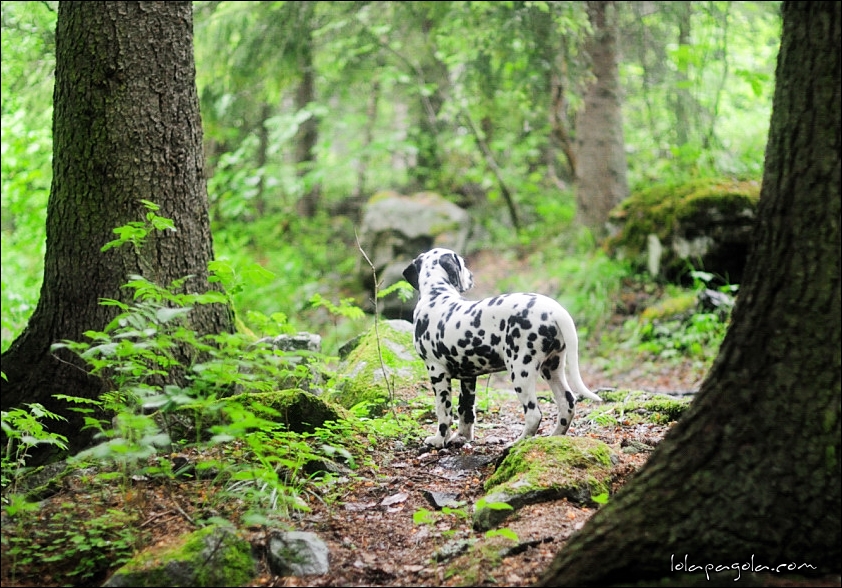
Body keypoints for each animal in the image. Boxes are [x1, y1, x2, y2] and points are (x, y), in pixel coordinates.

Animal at [400, 247, 596, 446]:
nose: (472, 275)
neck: (436, 296)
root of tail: (555, 311)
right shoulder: (468, 377)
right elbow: (466, 410)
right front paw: (462, 437)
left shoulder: (437, 373)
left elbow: (443, 412)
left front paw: (439, 440)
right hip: (552, 368)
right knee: (567, 403)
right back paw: (554, 437)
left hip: (520, 371)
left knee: (534, 414)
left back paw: (516, 443)